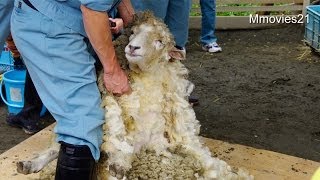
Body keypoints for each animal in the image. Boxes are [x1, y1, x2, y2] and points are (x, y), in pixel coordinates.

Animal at [16, 11, 254, 179]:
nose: (133, 47)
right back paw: (28, 164)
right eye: (133, 32)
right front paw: (119, 164)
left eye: (160, 41)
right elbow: (117, 139)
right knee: (59, 147)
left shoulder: (157, 141)